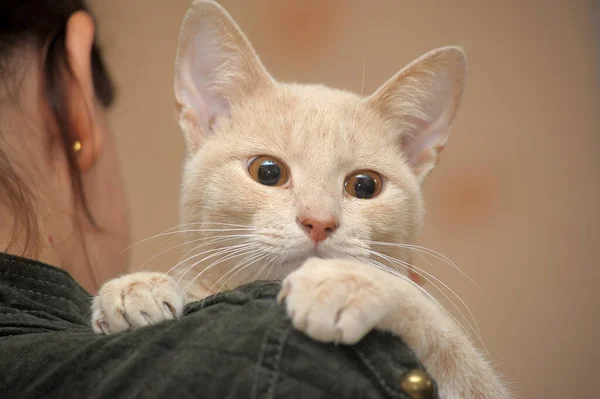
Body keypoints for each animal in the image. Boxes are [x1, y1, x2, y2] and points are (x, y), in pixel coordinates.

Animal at [90, 1, 510, 398]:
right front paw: (139, 287)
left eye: (364, 185)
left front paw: (351, 283)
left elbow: (447, 338)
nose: (319, 222)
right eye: (268, 172)